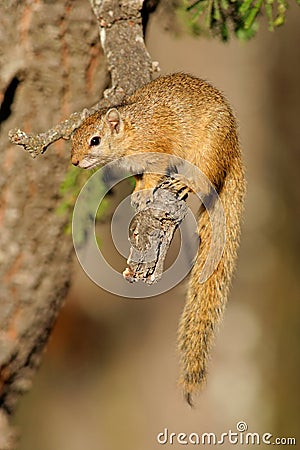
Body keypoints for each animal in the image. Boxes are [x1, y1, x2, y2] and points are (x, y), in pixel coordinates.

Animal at [71, 73, 246, 404]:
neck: (133, 130)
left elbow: (152, 175)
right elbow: (141, 178)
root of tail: (233, 149)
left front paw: (143, 192)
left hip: (206, 151)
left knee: (202, 178)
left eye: (95, 140)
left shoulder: (157, 149)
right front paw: (138, 191)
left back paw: (183, 183)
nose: (74, 162)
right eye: (73, 137)